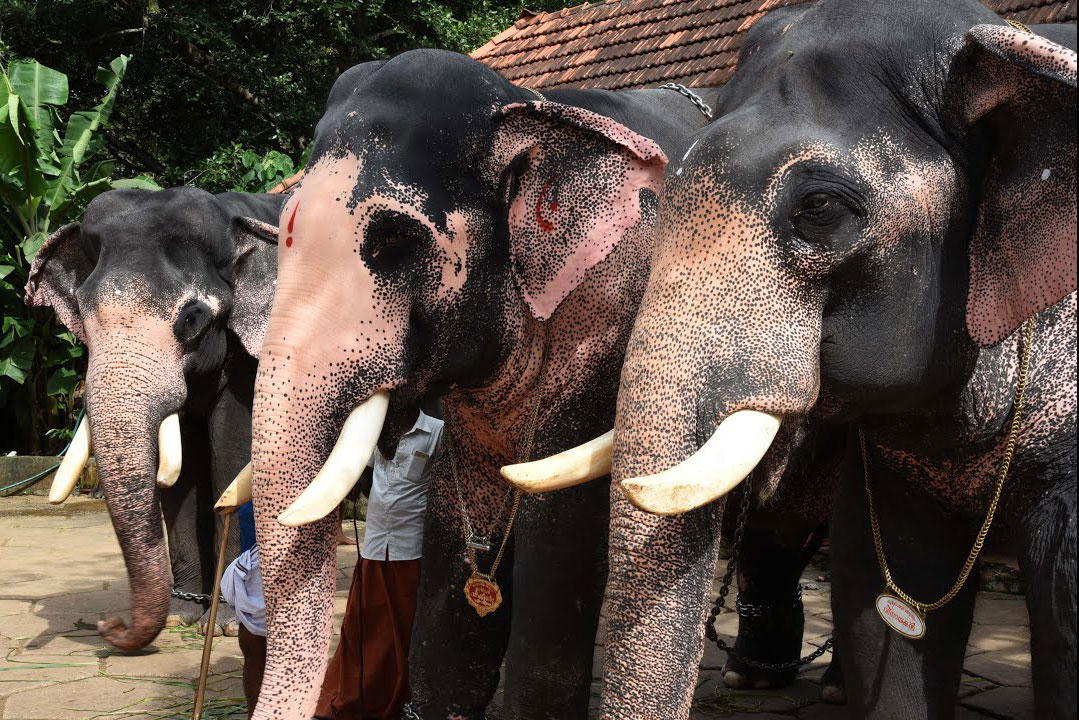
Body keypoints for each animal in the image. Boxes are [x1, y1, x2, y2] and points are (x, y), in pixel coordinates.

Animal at [26, 188, 284, 651]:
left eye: (192, 318)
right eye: (82, 316)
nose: (111, 626)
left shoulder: (252, 357)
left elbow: (231, 456)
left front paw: (225, 623)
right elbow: (179, 477)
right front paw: (182, 616)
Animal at [240, 52, 720, 720]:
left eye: (394, 241)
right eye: (282, 236)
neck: (526, 101)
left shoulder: (607, 328)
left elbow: (557, 545)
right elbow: (448, 619)